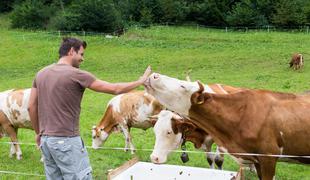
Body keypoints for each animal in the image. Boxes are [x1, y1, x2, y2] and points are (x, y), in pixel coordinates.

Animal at [144, 72, 310, 180]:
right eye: (155, 131)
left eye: (182, 86)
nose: (154, 157)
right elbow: (211, 160)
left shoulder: (268, 158)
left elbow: (218, 161)